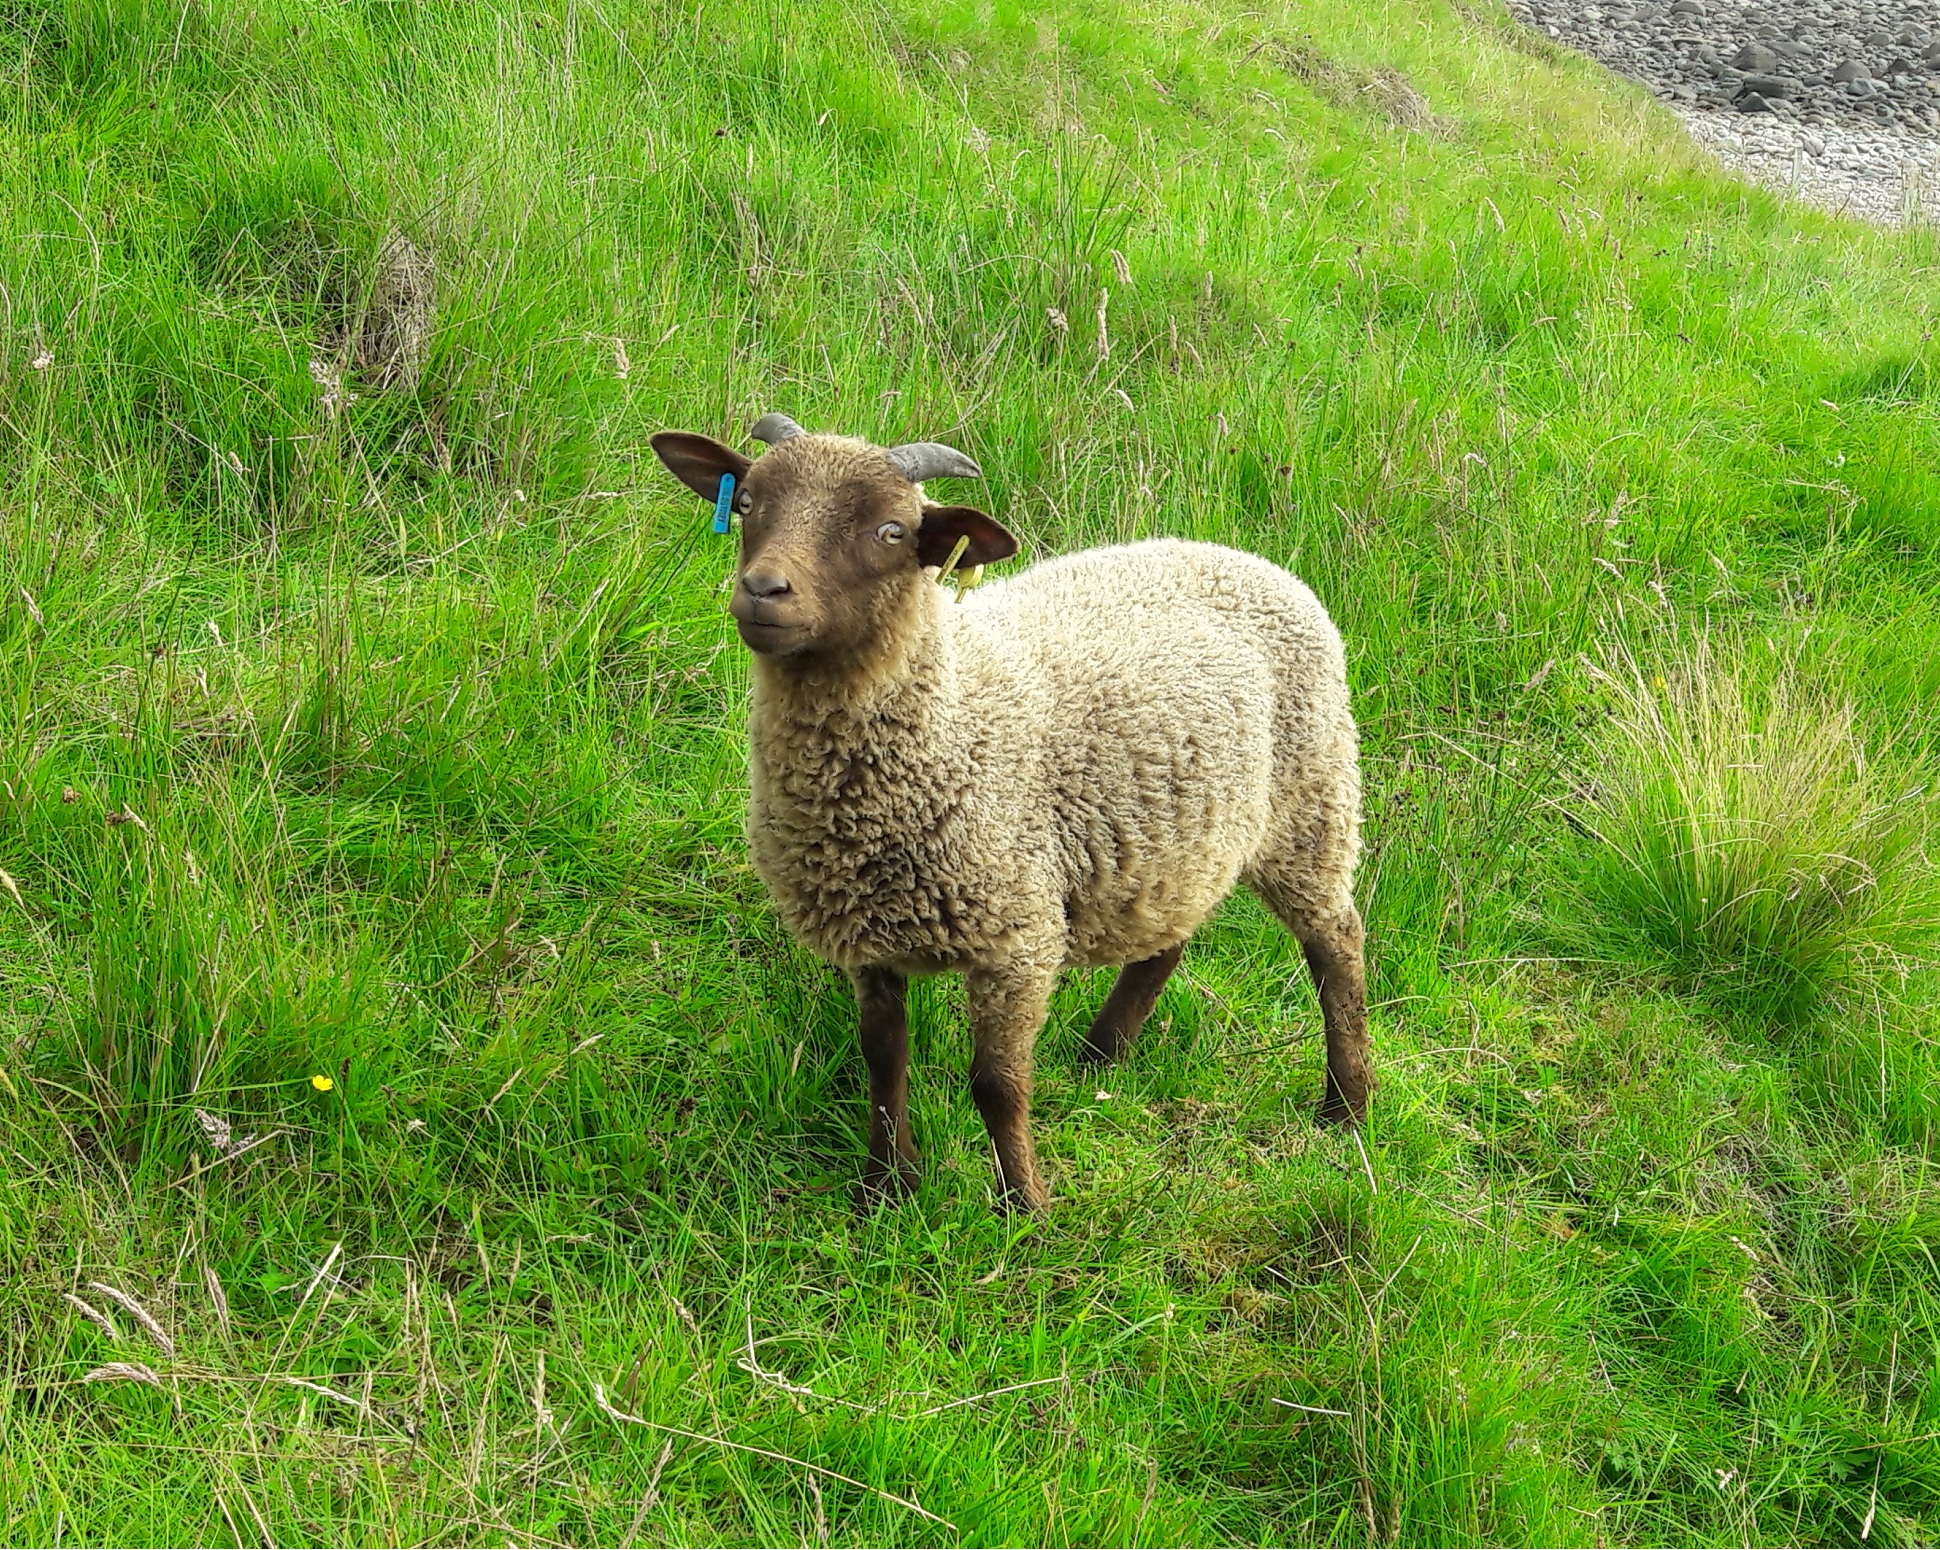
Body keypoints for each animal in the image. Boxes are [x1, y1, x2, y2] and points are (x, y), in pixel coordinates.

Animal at [651, 415, 1365, 1210]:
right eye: (745, 503)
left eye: (891, 531)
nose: (761, 590)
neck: (948, 713)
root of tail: (1246, 559)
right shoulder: (867, 937)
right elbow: (881, 1063)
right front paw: (886, 1187)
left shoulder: (1017, 937)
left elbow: (996, 1085)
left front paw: (1026, 1206)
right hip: (1174, 838)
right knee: (1167, 940)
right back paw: (1100, 1058)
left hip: (1311, 799)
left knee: (1338, 945)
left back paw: (1346, 1108)